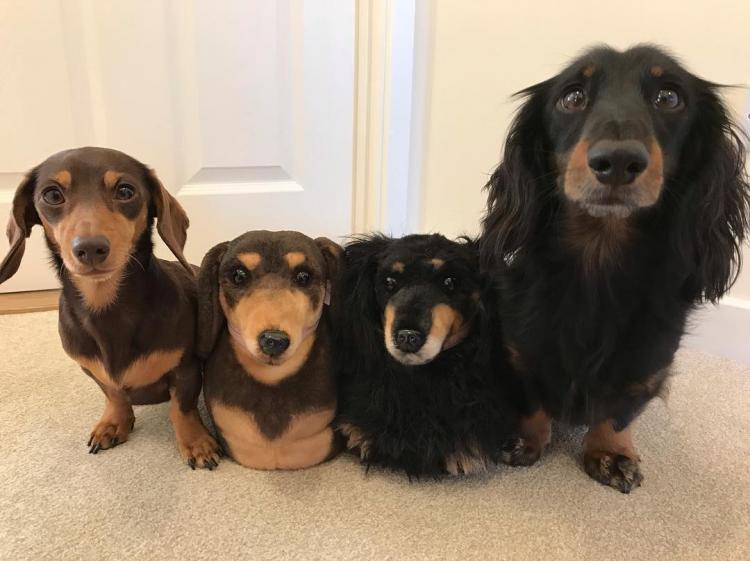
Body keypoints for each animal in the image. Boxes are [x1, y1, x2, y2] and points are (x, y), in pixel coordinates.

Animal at [482, 44, 750, 490]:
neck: (599, 255)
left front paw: (611, 453)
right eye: (572, 96)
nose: (618, 161)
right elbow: (532, 395)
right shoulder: (521, 342)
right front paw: (524, 440)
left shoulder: (650, 359)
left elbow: (620, 410)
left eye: (669, 97)